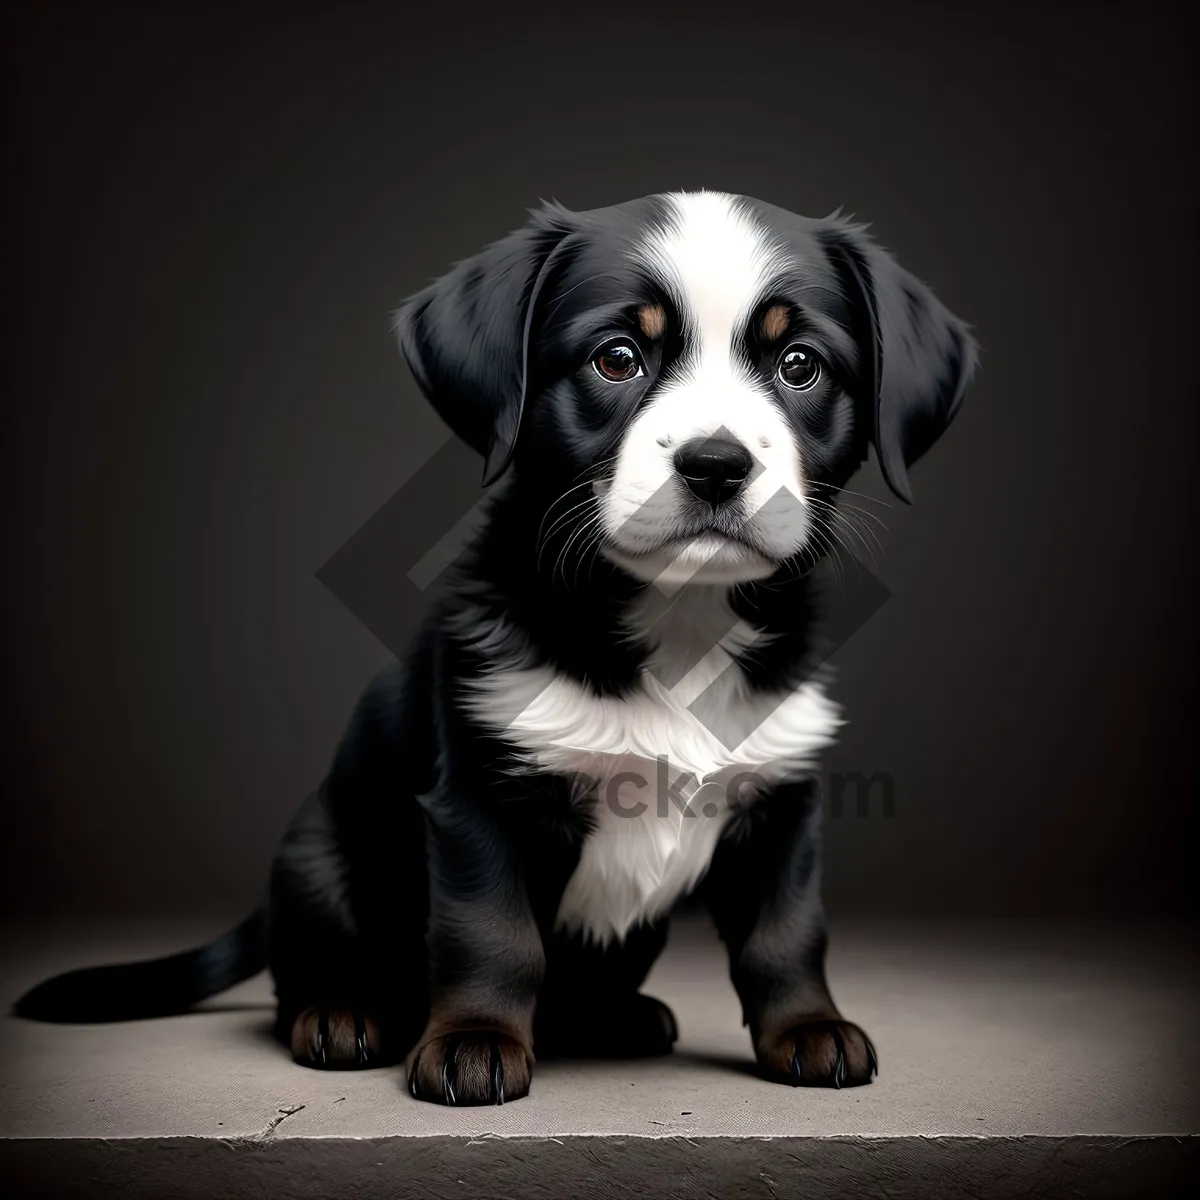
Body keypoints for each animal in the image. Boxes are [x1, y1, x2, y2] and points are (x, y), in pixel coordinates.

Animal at [16, 189, 974, 1104]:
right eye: (616, 358)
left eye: (799, 365)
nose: (714, 464)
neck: (679, 626)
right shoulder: (479, 797)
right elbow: (491, 934)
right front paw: (474, 1043)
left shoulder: (780, 798)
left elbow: (787, 931)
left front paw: (810, 1030)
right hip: (318, 860)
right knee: (310, 969)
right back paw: (341, 1014)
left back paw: (615, 1015)